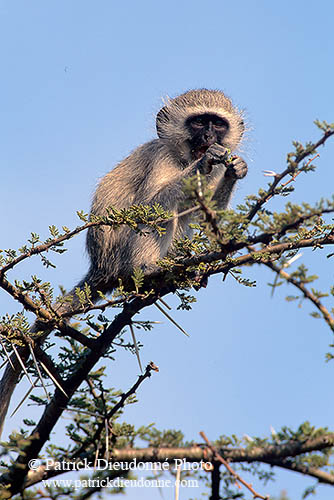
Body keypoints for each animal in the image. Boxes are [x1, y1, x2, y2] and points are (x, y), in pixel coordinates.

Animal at [0, 91, 248, 438]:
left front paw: (234, 169)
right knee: (162, 214)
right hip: (120, 254)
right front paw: (204, 162)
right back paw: (148, 269)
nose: (210, 138)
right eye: (199, 122)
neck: (181, 158)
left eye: (218, 123)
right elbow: (150, 206)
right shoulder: (161, 157)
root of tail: (101, 268)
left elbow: (202, 215)